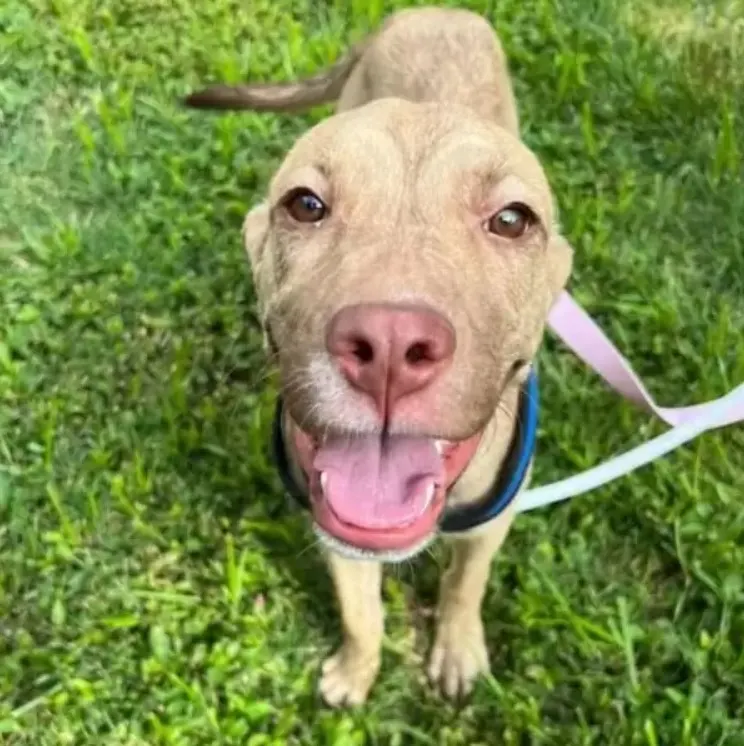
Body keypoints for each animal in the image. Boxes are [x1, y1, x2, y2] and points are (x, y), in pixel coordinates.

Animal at [183, 5, 572, 704]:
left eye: (511, 219)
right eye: (305, 205)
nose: (390, 345)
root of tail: (428, 10)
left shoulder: (491, 523)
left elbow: (464, 585)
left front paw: (456, 649)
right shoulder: (335, 534)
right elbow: (361, 613)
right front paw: (355, 672)